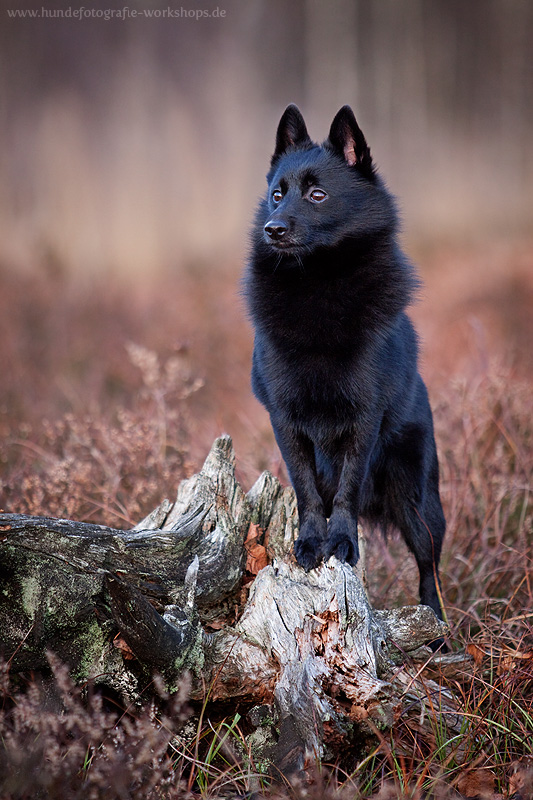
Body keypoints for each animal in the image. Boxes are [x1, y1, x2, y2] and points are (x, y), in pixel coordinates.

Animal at [245, 104, 444, 620]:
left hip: (418, 500)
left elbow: (347, 489)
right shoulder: (285, 420)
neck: (317, 285)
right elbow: (308, 490)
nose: (273, 228)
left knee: (429, 564)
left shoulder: (364, 418)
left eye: (317, 194)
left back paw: (436, 622)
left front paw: (341, 543)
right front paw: (311, 542)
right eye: (277, 195)